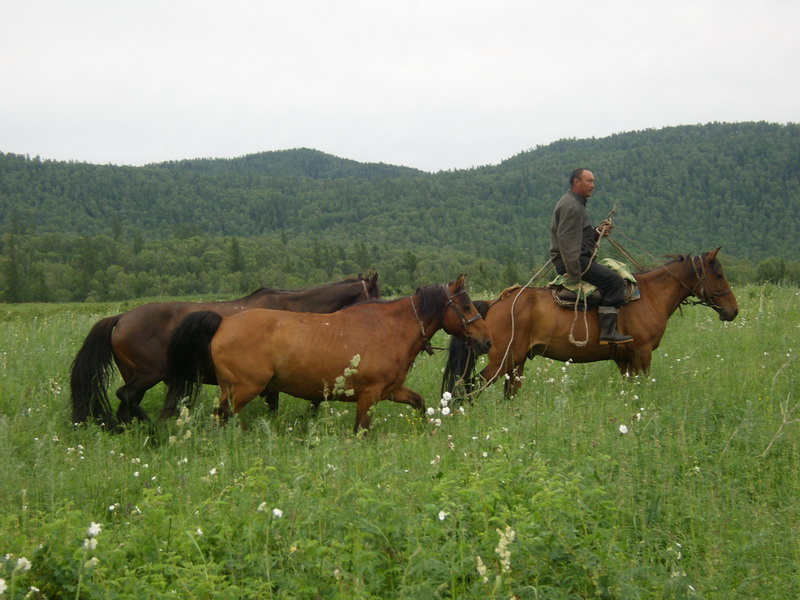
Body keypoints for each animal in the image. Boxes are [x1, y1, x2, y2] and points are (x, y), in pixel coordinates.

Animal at [69, 274, 382, 428]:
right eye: (376, 293)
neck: (294, 310)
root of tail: (121, 318)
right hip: (148, 374)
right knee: (126, 397)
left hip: (136, 375)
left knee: (126, 404)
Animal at [162, 276, 490, 432]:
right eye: (465, 307)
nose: (486, 342)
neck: (390, 328)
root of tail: (223, 322)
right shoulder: (369, 396)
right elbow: (361, 431)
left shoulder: (390, 391)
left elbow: (419, 403)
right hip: (243, 389)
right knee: (223, 416)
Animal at [444, 248, 736, 398]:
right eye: (719, 275)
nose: (733, 310)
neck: (651, 295)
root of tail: (492, 303)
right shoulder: (641, 354)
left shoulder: (624, 359)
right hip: (501, 362)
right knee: (468, 387)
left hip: (516, 362)